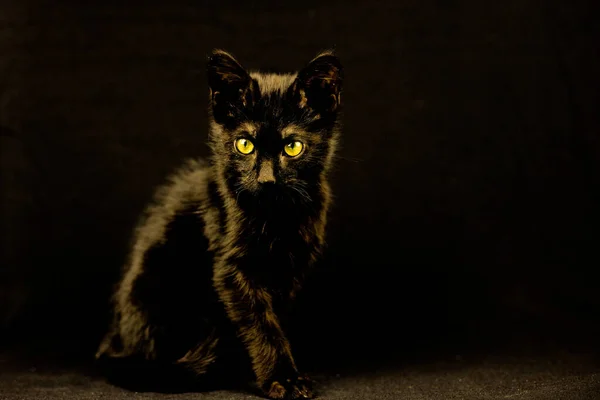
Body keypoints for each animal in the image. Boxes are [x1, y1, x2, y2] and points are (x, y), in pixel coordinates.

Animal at [96, 50, 344, 400]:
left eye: (293, 147)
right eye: (245, 145)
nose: (266, 179)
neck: (277, 216)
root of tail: (113, 342)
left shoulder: (291, 269)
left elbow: (272, 320)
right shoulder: (231, 269)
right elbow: (261, 324)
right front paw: (282, 379)